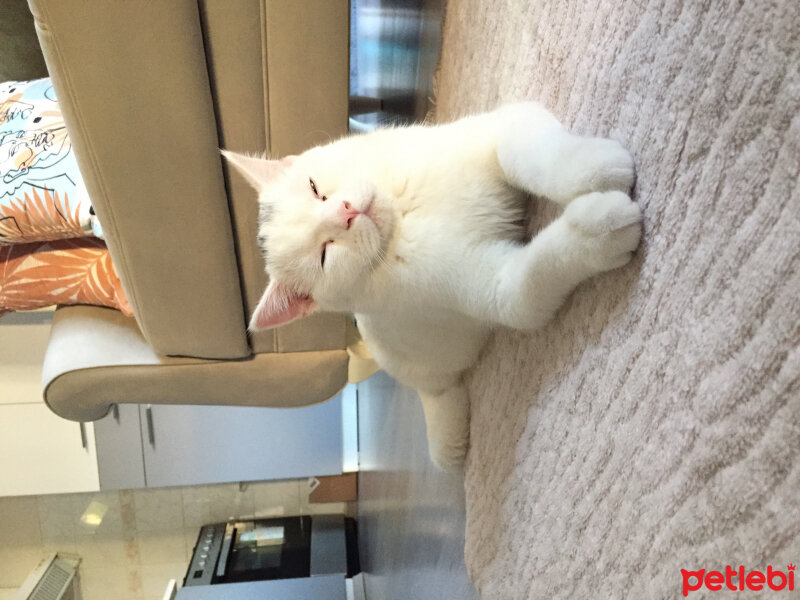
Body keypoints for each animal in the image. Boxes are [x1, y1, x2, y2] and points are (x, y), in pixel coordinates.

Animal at [225, 102, 644, 468]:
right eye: (323, 254)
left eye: (315, 189)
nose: (345, 213)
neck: (403, 215)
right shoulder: (497, 289)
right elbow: (533, 279)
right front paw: (600, 228)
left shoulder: (500, 127)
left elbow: (533, 156)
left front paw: (595, 166)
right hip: (423, 366)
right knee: (444, 390)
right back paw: (454, 434)